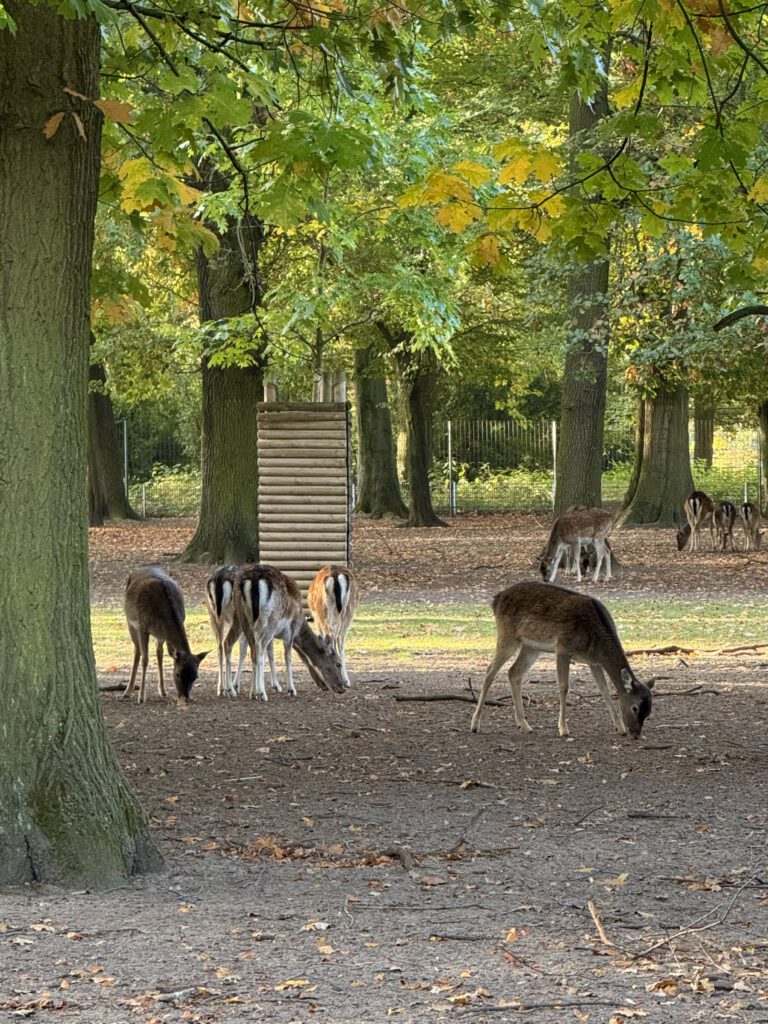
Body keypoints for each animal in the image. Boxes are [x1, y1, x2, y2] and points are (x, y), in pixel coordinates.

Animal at [123, 569, 208, 704]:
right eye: (177, 674)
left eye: (195, 676)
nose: (185, 697)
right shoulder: (142, 627)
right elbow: (145, 659)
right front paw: (141, 697)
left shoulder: (166, 631)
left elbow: (163, 654)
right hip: (130, 622)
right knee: (137, 651)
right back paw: (128, 691)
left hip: (160, 635)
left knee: (159, 653)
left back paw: (162, 690)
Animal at [231, 565, 346, 700]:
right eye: (338, 664)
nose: (342, 688)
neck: (300, 622)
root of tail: (254, 579)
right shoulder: (290, 630)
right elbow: (289, 656)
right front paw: (291, 689)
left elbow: (273, 654)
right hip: (270, 618)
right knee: (259, 648)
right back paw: (262, 694)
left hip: (243, 616)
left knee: (253, 650)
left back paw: (253, 693)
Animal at [473, 581, 651, 741]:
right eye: (635, 708)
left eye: (649, 712)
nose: (635, 735)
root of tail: (496, 599)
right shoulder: (563, 648)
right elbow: (564, 687)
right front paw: (563, 729)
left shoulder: (593, 661)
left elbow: (604, 689)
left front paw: (619, 728)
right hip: (507, 635)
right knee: (490, 672)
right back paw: (475, 725)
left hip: (531, 646)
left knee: (513, 673)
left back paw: (524, 725)